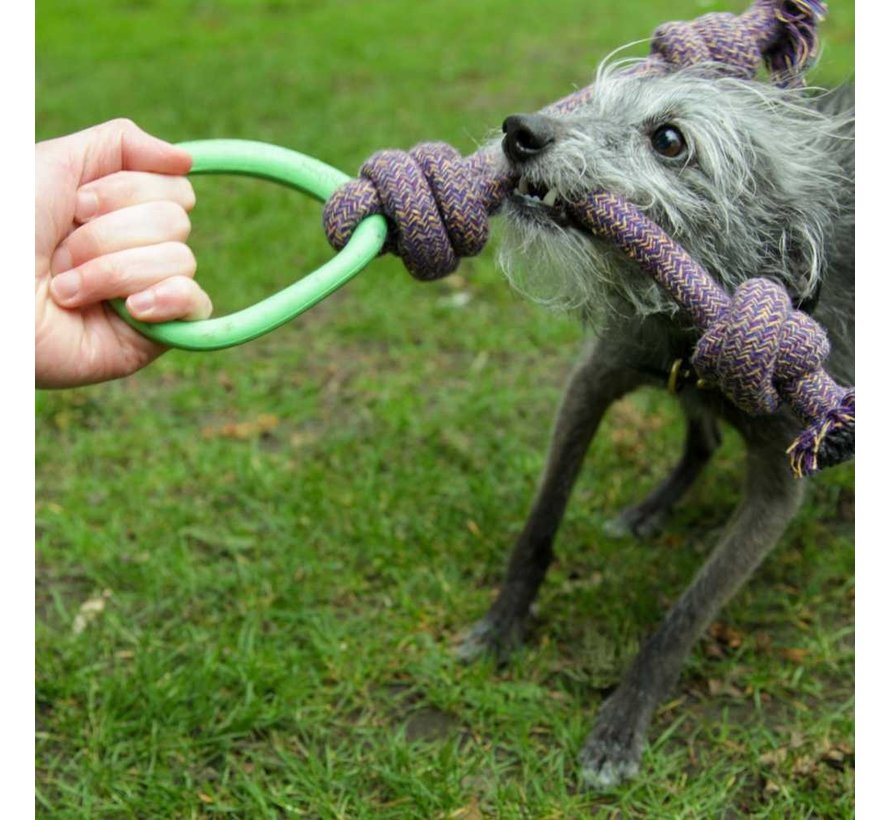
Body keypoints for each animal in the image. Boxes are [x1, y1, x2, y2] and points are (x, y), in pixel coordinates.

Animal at [458, 57, 852, 788]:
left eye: (669, 140)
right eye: (592, 100)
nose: (519, 132)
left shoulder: (776, 491)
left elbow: (685, 616)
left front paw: (620, 725)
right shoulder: (595, 382)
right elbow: (538, 526)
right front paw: (501, 626)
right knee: (703, 435)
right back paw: (651, 508)